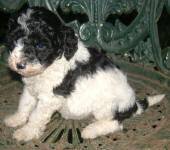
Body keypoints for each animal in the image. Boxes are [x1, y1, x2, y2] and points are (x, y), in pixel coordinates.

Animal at [3, 7, 165, 142]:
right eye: (14, 40)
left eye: (41, 45)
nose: (19, 65)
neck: (55, 60)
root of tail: (133, 105)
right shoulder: (30, 88)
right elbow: (24, 104)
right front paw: (16, 119)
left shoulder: (50, 97)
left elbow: (36, 116)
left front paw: (26, 132)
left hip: (105, 106)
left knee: (115, 124)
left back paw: (91, 131)